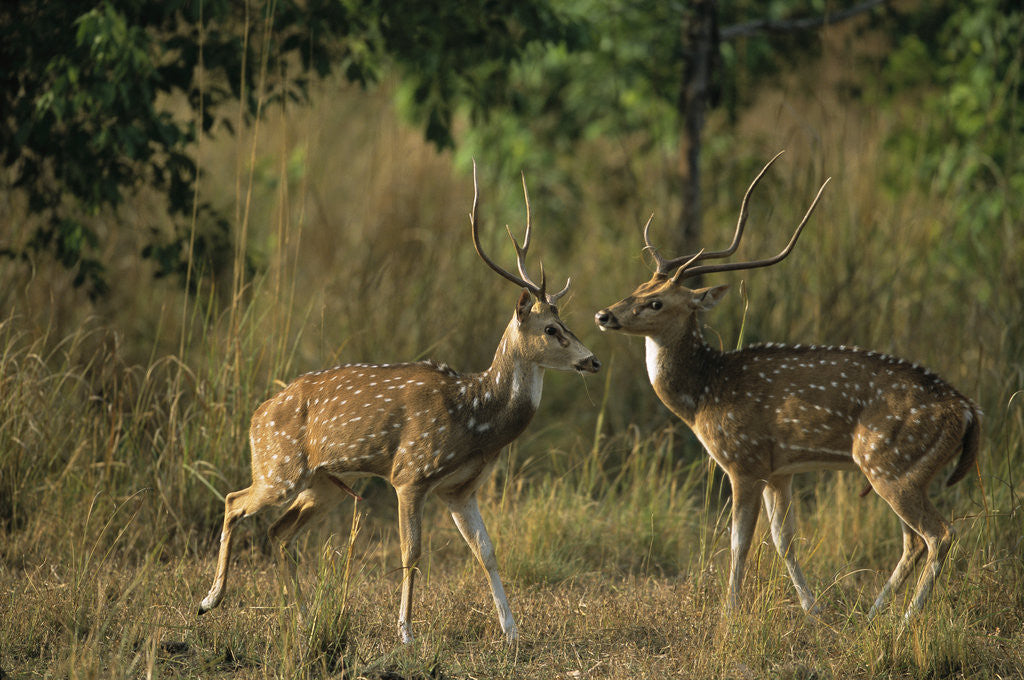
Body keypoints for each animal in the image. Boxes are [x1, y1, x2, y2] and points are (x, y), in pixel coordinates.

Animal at [198, 163, 600, 644]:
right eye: (552, 329)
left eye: (567, 323)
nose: (593, 360)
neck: (474, 416)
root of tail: (256, 416)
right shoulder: (410, 473)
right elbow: (413, 552)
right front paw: (406, 632)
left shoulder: (459, 489)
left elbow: (486, 551)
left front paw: (512, 633)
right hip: (279, 467)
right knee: (233, 501)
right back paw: (210, 600)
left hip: (323, 484)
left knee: (278, 532)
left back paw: (302, 617)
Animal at [595, 152, 981, 620]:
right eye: (638, 287)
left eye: (657, 302)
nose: (604, 315)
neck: (703, 395)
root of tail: (967, 410)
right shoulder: (779, 471)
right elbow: (783, 541)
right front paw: (812, 610)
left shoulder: (743, 461)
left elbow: (739, 542)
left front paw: (729, 614)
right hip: (902, 472)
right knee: (913, 540)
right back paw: (873, 616)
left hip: (890, 464)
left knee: (939, 534)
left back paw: (906, 620)